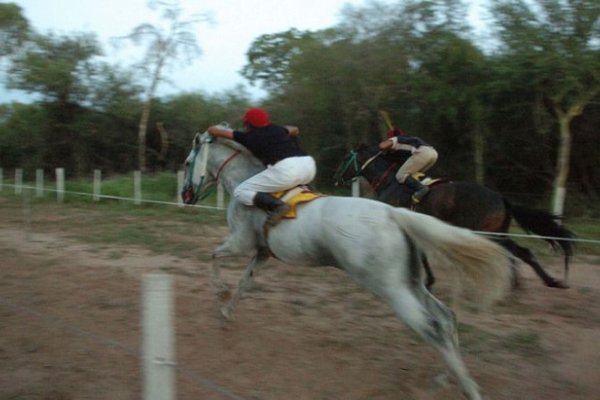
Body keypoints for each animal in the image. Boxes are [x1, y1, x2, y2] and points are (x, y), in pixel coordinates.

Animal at [183, 130, 510, 398]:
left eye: (187, 163)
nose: (186, 196)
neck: (247, 185)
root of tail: (395, 215)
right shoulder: (261, 253)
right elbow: (244, 283)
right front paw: (226, 311)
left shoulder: (240, 243)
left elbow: (214, 257)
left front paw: (220, 294)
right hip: (411, 282)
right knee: (445, 318)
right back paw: (447, 378)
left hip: (391, 289)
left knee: (431, 327)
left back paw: (465, 387)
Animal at [336, 145, 576, 290]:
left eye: (346, 159)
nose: (336, 177)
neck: (390, 182)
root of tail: (501, 198)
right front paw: (428, 280)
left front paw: (425, 281)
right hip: (497, 233)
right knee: (518, 253)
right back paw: (522, 285)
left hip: (488, 233)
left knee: (520, 253)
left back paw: (541, 282)